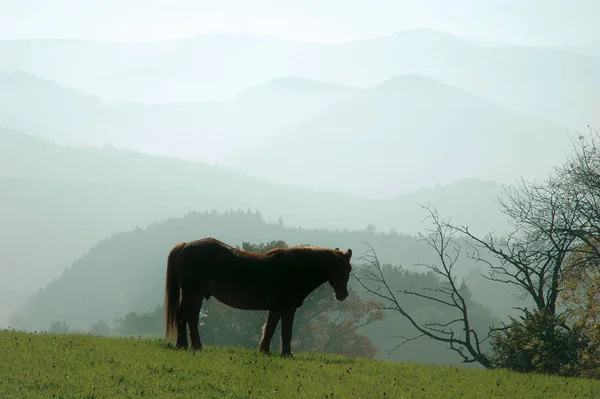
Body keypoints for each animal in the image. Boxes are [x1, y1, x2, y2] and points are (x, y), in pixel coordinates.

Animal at [164, 239, 352, 358]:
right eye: (346, 268)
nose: (343, 295)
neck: (295, 268)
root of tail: (185, 246)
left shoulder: (276, 309)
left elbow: (269, 329)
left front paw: (264, 351)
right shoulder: (288, 309)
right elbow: (286, 332)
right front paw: (287, 354)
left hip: (197, 295)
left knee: (192, 318)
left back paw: (196, 346)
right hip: (191, 293)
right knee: (182, 316)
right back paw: (182, 344)